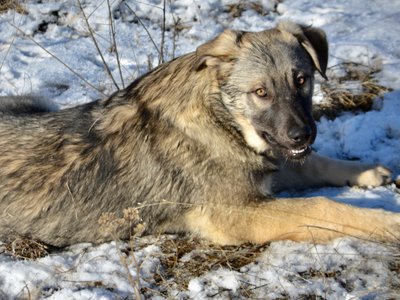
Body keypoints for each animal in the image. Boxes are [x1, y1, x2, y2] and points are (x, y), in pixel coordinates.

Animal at [0, 20, 396, 246]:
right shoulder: (237, 214)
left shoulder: (266, 164)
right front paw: (390, 222)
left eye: (302, 80)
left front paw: (366, 171)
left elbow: (313, 165)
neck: (220, 119)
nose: (303, 135)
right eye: (261, 92)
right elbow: (326, 207)